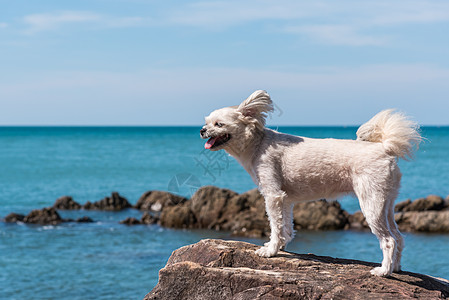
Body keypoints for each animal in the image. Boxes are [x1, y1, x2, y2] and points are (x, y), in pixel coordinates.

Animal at [200, 89, 420, 276]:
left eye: (219, 124)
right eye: (207, 122)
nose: (202, 130)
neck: (258, 144)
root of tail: (385, 148)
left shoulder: (273, 195)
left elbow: (275, 225)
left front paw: (271, 251)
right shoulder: (285, 199)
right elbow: (286, 225)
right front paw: (279, 245)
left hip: (371, 204)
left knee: (389, 240)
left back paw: (383, 271)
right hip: (387, 204)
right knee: (399, 237)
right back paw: (396, 268)